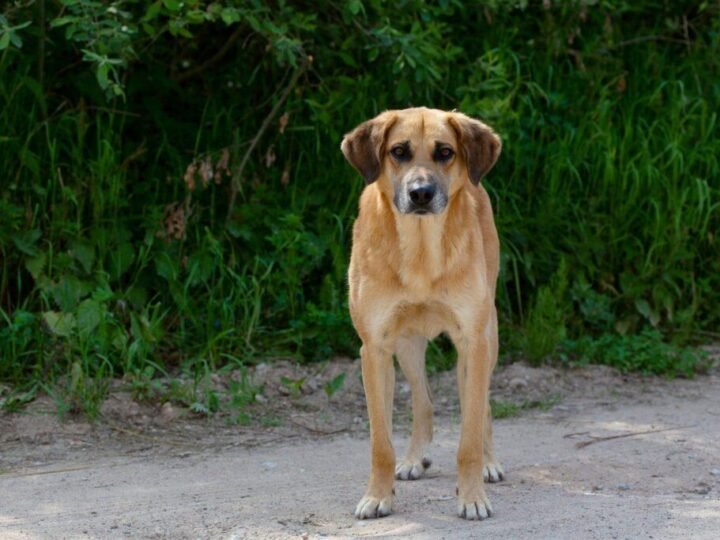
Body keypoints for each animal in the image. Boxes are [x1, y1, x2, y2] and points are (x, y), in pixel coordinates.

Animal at [342, 107, 500, 520]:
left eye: (445, 152)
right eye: (398, 151)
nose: (421, 193)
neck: (420, 249)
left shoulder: (472, 341)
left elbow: (468, 437)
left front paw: (472, 496)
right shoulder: (375, 348)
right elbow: (380, 443)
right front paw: (378, 496)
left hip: (486, 340)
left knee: (481, 407)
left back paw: (490, 461)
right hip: (408, 346)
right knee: (423, 399)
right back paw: (415, 458)